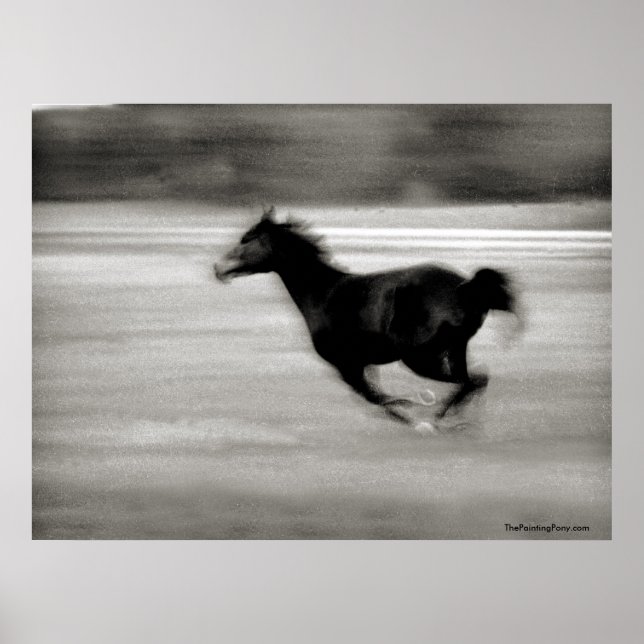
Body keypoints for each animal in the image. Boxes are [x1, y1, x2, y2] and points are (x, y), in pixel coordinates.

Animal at [214, 205, 520, 425]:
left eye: (246, 241)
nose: (218, 268)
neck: (323, 294)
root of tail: (466, 287)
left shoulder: (346, 365)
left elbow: (375, 399)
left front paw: (413, 414)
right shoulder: (361, 365)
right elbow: (374, 397)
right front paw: (410, 411)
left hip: (420, 358)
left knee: (470, 382)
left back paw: (439, 418)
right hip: (454, 350)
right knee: (474, 381)